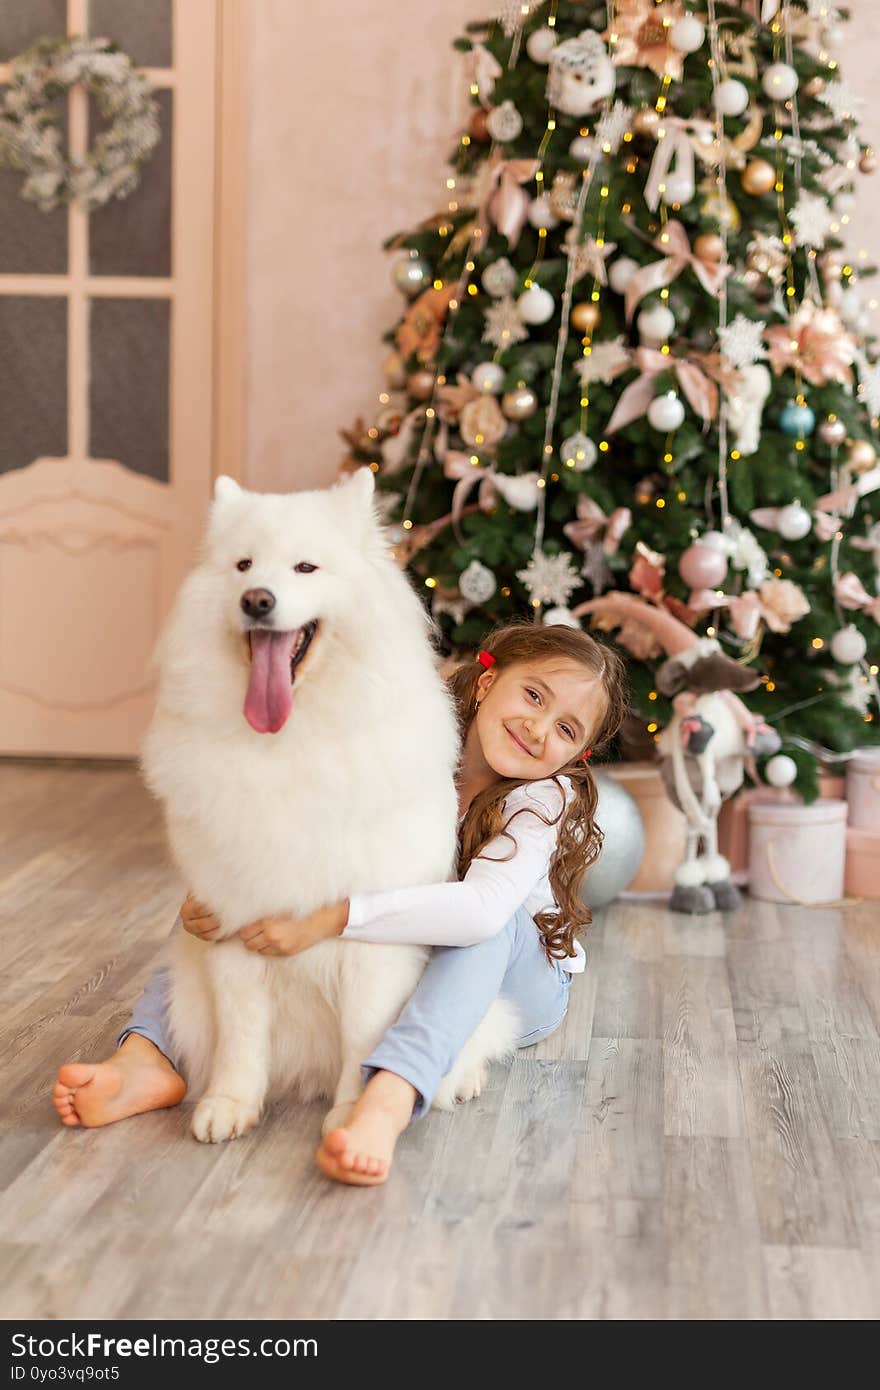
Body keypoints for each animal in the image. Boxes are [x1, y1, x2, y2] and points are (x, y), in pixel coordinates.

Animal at [140, 467, 517, 1139]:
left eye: (305, 568)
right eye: (243, 566)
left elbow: (363, 1038)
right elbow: (241, 1036)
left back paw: (460, 1080)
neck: (290, 742)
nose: (257, 600)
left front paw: (351, 1114)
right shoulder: (231, 924)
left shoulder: (369, 943)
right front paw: (230, 1105)